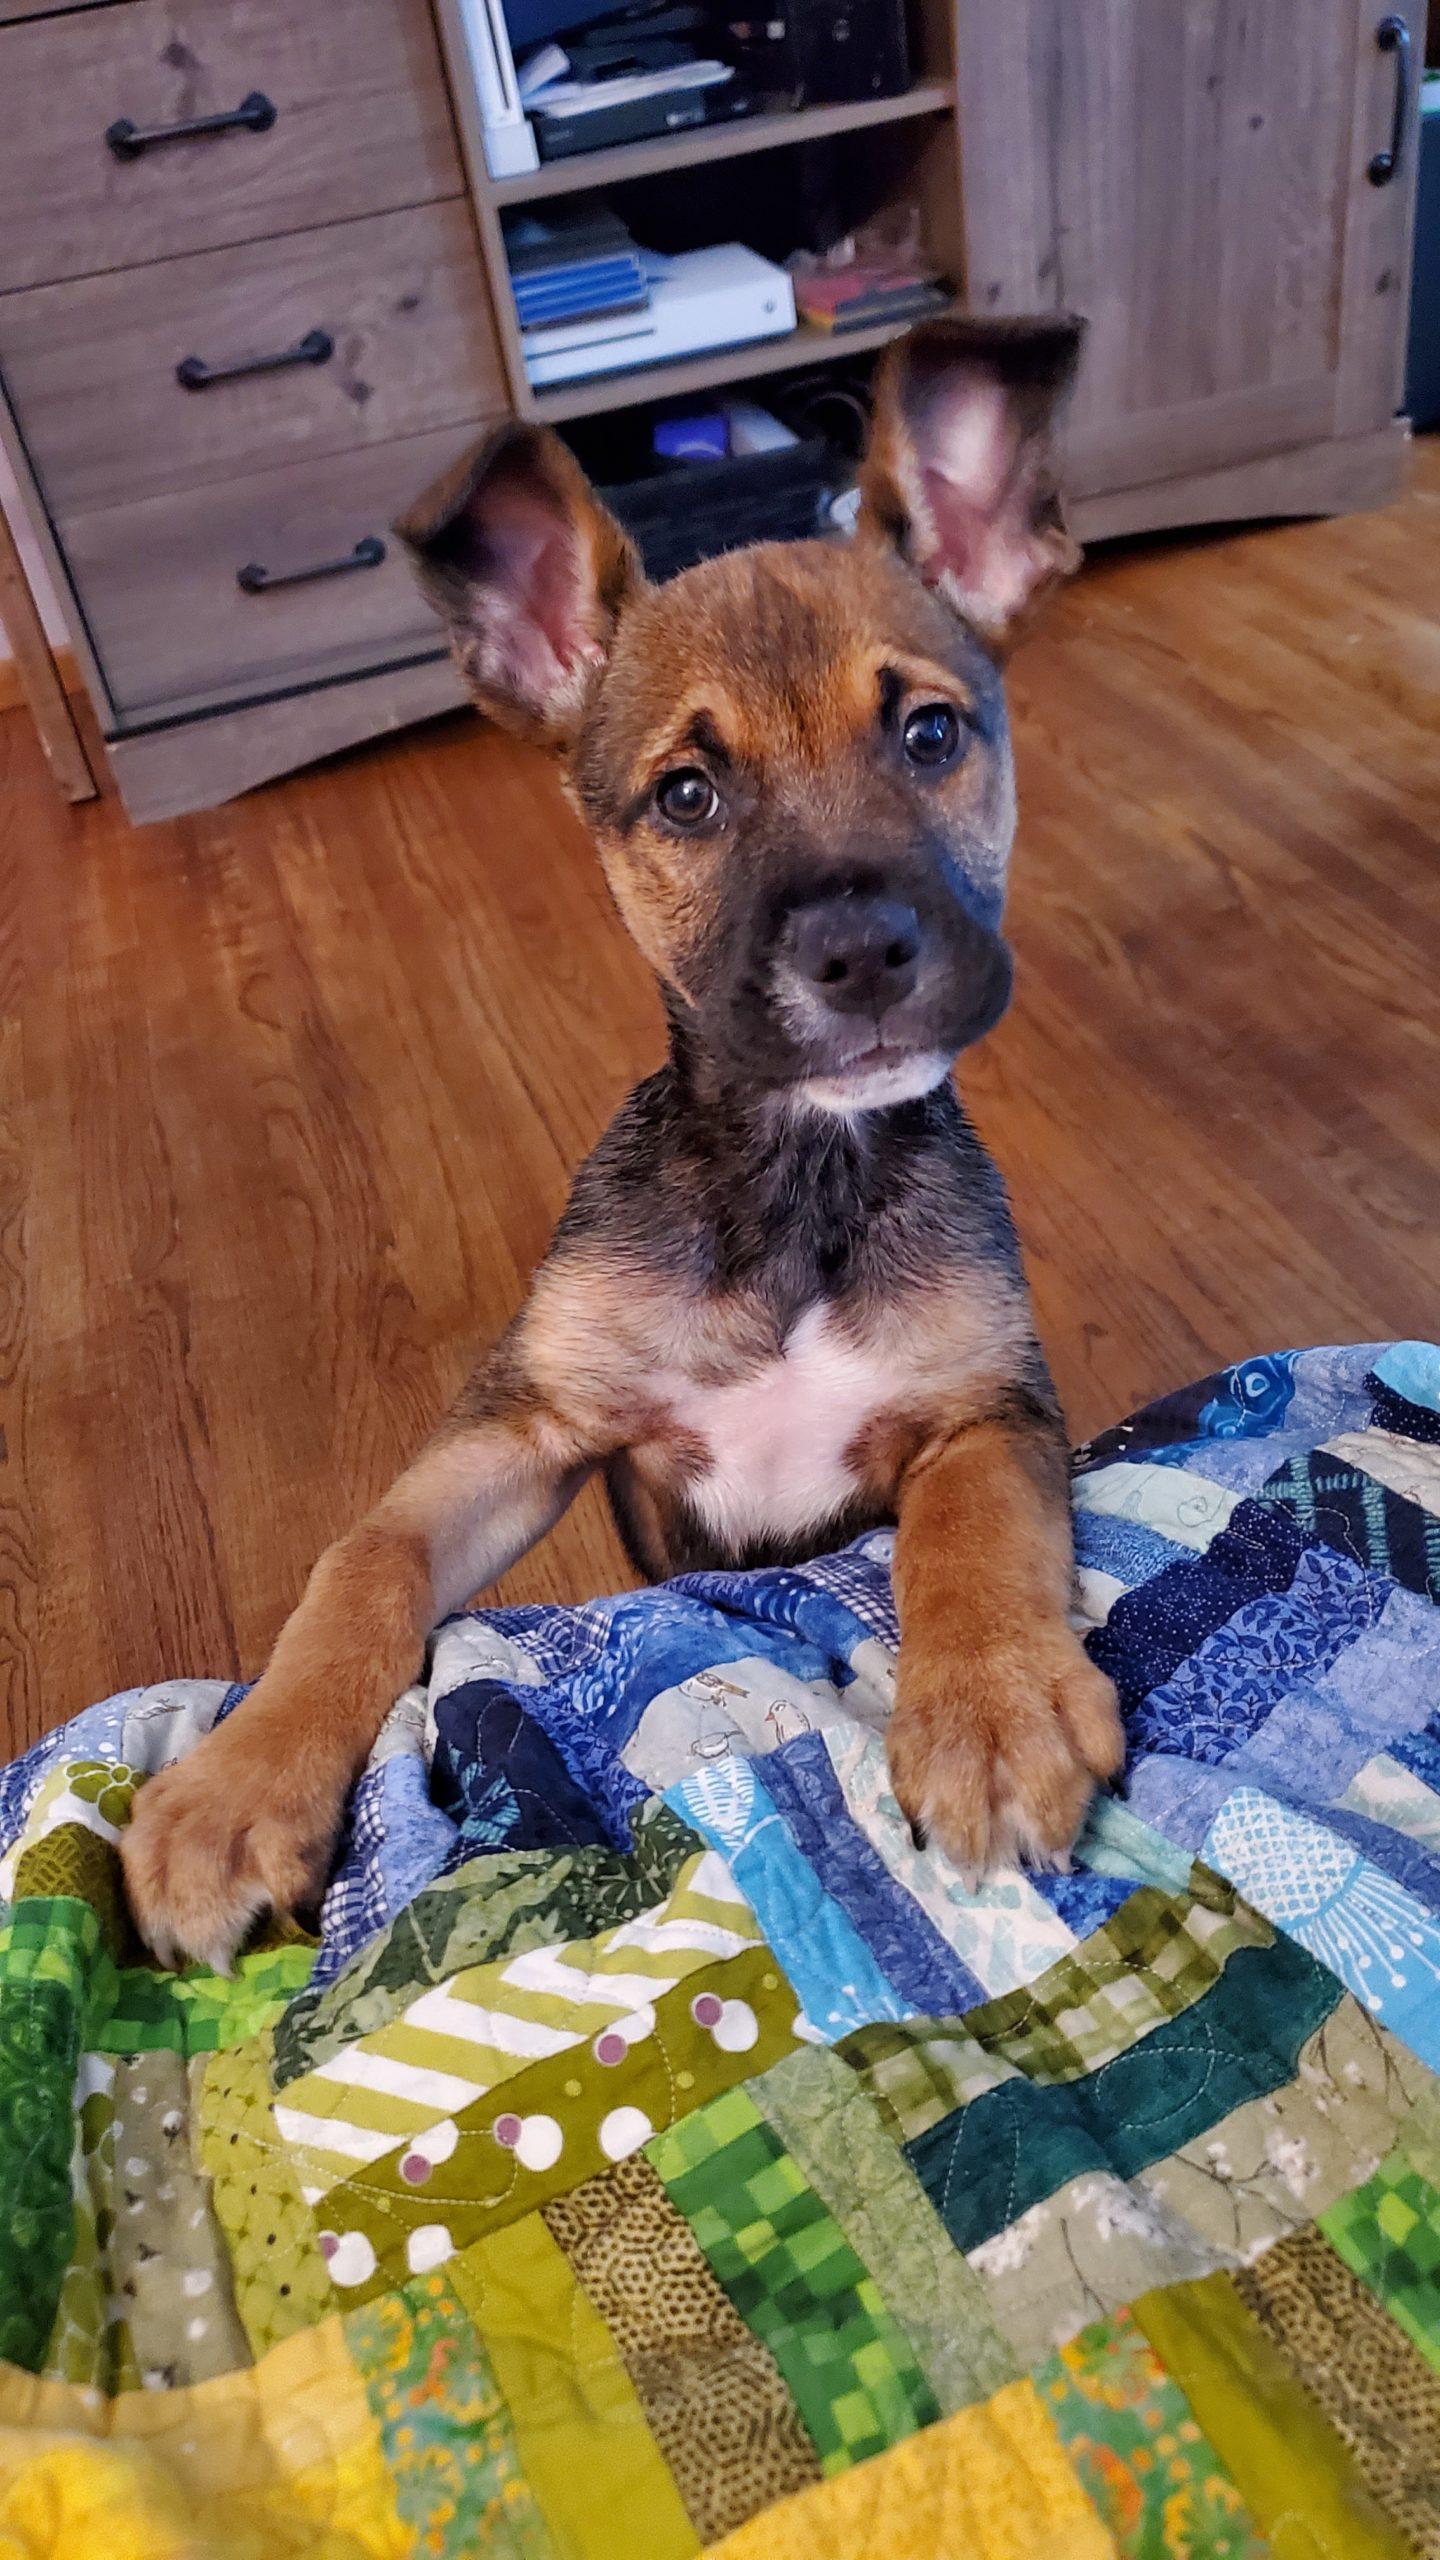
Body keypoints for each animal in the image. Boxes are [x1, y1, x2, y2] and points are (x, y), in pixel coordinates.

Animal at [120, 309, 1122, 1966]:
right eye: (688, 796)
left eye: (931, 733)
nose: (860, 953)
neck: (793, 1172)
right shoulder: (526, 1425)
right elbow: (361, 1560)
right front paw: (233, 1787)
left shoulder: (988, 1407)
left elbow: (970, 1534)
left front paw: (992, 1709)